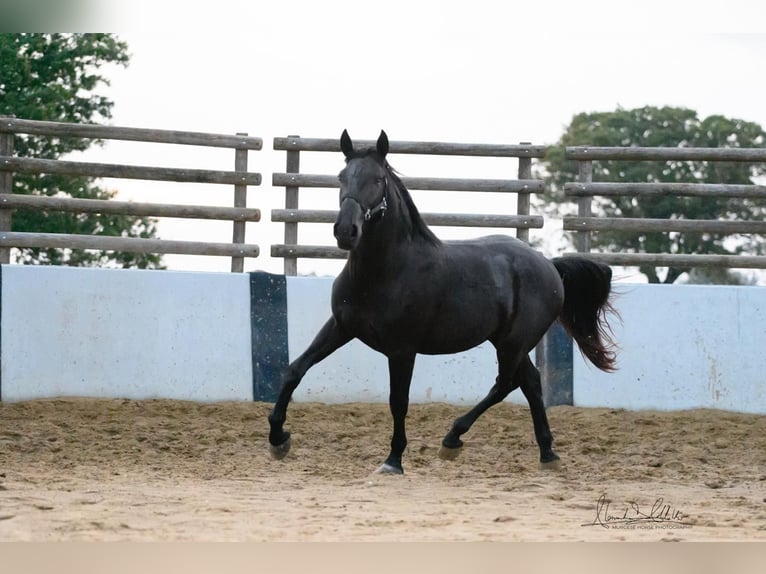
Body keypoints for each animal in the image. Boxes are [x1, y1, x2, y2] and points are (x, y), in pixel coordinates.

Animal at [270, 132, 616, 476]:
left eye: (378, 179)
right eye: (341, 177)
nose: (345, 231)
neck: (386, 271)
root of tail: (549, 266)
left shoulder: (402, 349)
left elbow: (398, 401)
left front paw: (393, 460)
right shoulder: (341, 327)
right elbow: (295, 369)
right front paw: (278, 439)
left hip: (513, 342)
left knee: (506, 383)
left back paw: (452, 439)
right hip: (507, 342)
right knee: (529, 382)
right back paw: (547, 453)